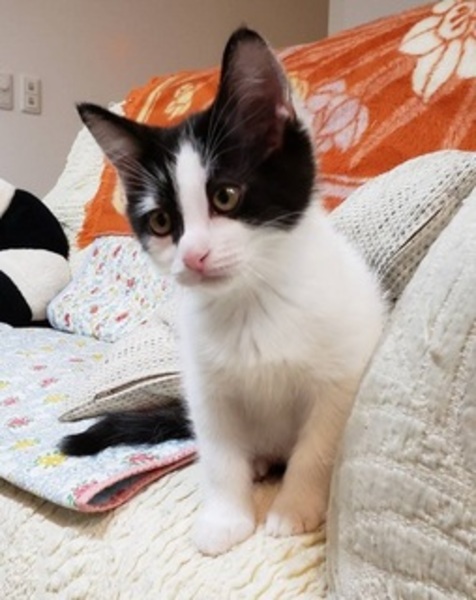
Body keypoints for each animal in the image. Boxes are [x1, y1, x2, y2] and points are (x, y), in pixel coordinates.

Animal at [61, 27, 386, 556]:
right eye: (161, 221)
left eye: (226, 196)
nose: (194, 255)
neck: (255, 302)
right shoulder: (207, 384)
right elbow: (219, 452)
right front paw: (225, 519)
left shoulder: (342, 373)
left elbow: (315, 448)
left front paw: (293, 509)